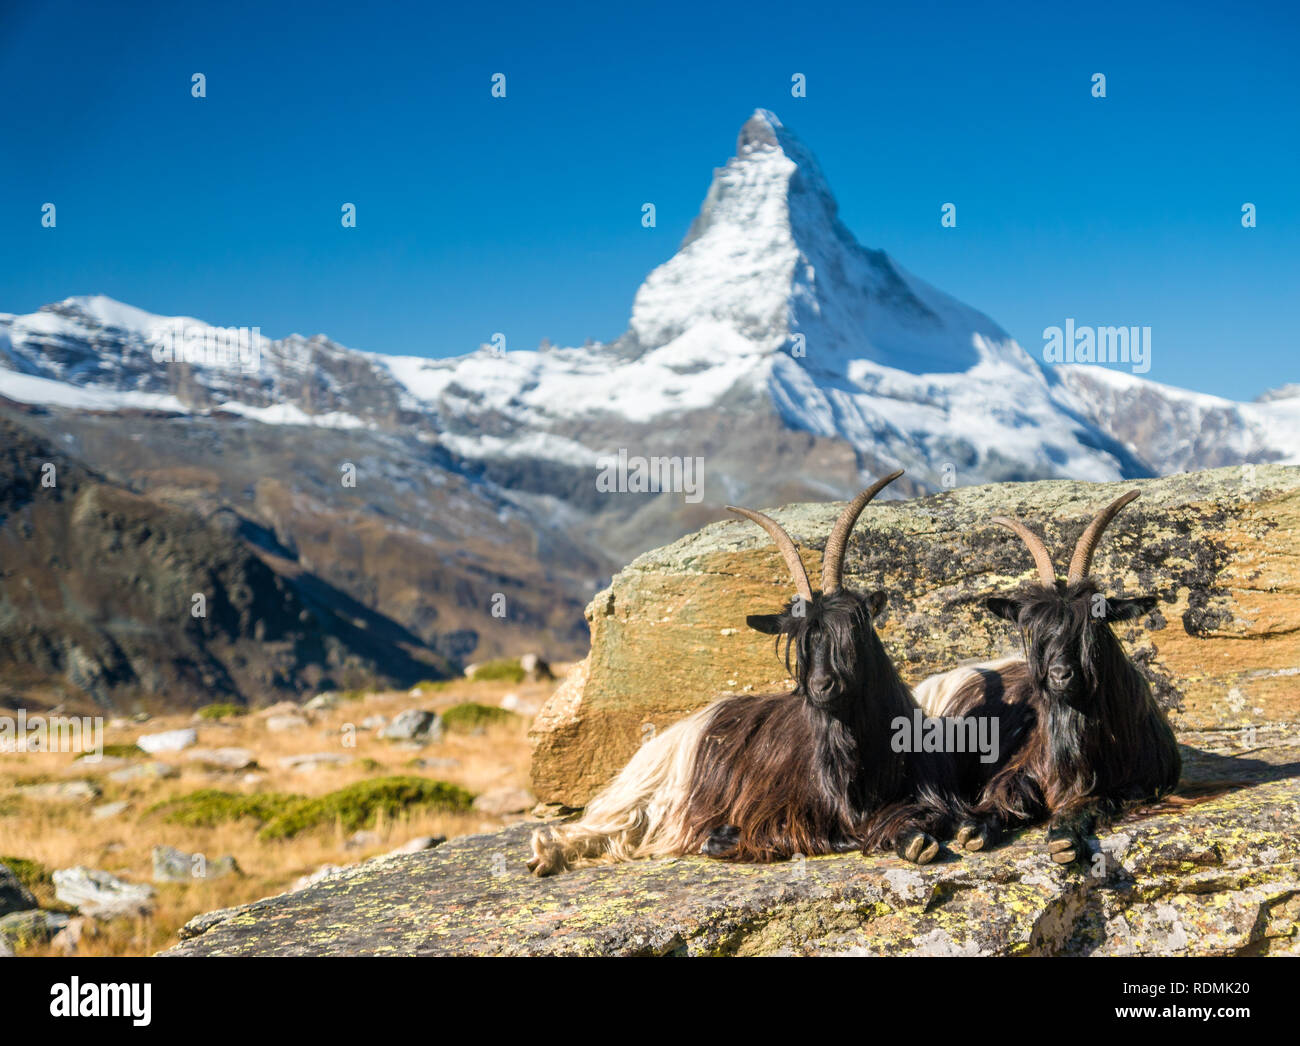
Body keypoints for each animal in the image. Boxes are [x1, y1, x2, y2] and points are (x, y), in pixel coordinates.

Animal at [525, 470, 967, 873]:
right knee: (609, 822)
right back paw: (547, 853)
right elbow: (802, 835)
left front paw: (920, 839)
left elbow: (933, 816)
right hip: (650, 786)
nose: (821, 686)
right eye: (801, 642)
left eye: (853, 631)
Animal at [920, 488, 1185, 862]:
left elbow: (1093, 800)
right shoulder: (1018, 767)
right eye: (1038, 629)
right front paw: (975, 828)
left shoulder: (1138, 786)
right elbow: (1004, 794)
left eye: (1094, 625)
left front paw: (1063, 835)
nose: (1060, 675)